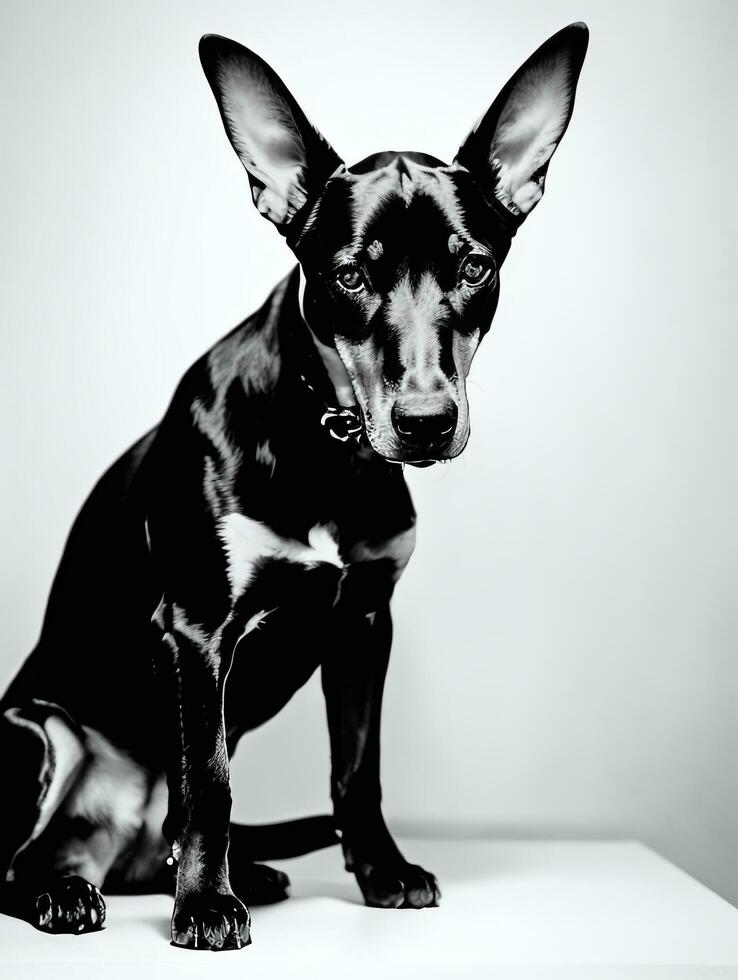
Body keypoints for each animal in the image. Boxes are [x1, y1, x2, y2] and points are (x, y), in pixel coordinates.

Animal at [0, 24, 588, 948]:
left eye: (473, 267)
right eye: (350, 275)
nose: (426, 422)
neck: (329, 442)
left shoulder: (365, 623)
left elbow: (358, 770)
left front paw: (381, 872)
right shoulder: (196, 631)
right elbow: (208, 781)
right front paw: (206, 907)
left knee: (150, 843)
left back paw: (227, 872)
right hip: (38, 732)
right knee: (21, 863)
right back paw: (67, 893)